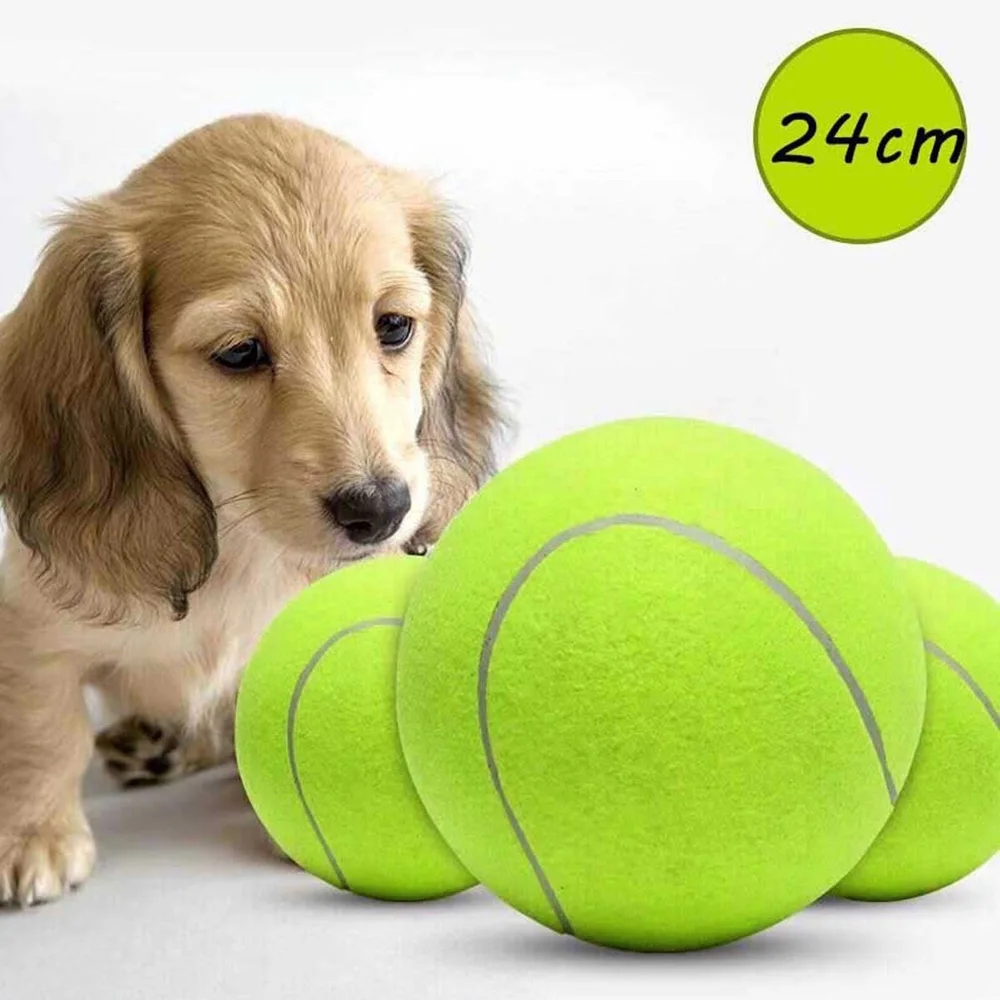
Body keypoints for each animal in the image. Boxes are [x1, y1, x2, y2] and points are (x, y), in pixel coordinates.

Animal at [0, 114, 504, 907]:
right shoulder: (30, 632)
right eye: (239, 352)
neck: (243, 549)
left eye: (394, 327)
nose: (380, 509)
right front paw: (33, 835)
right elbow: (40, 732)